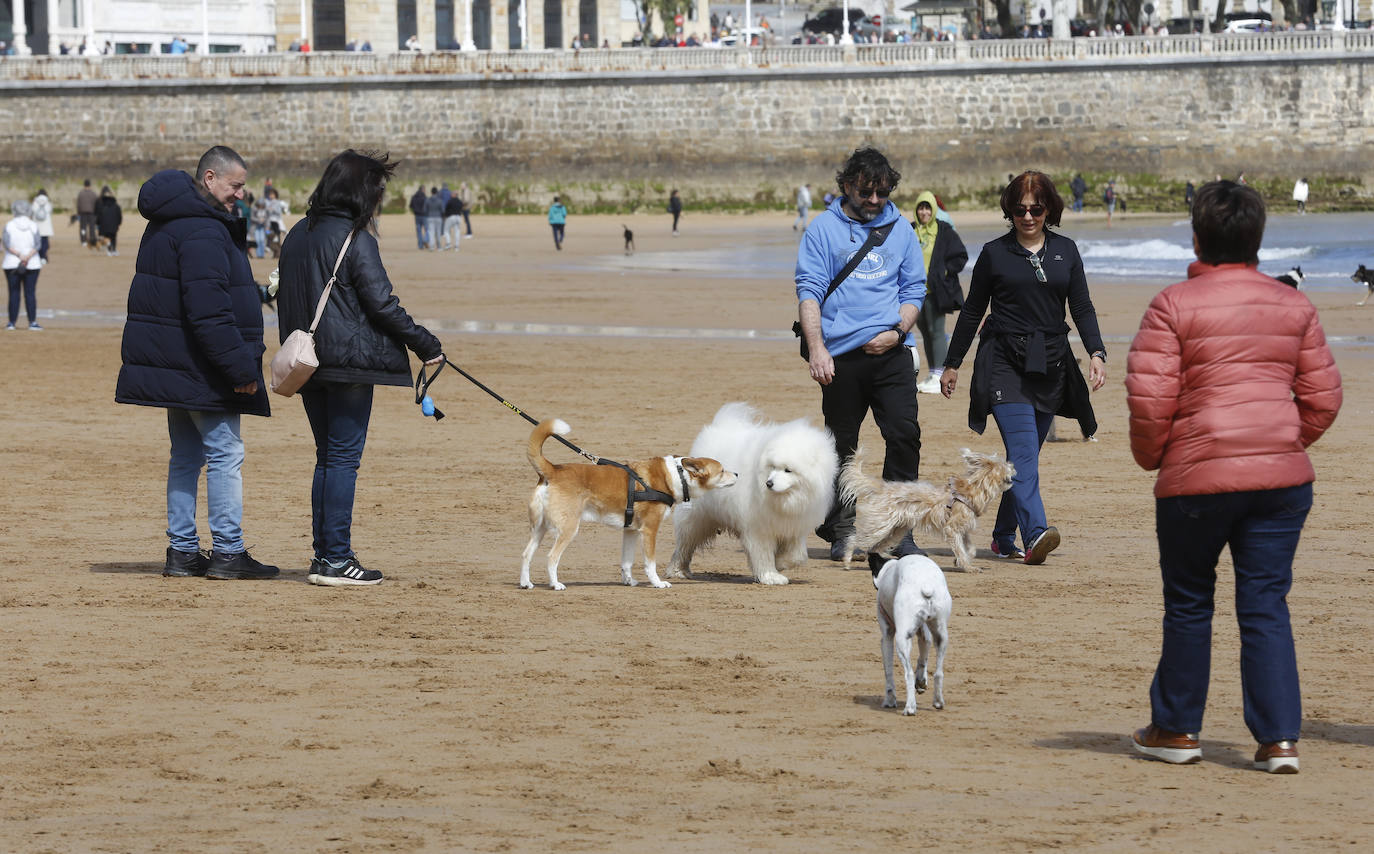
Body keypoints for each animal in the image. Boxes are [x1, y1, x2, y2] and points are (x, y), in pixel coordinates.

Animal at [522, 417, 741, 593]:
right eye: (722, 471)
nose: (738, 474)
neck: (675, 477)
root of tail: (552, 470)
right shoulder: (650, 530)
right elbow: (650, 563)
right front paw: (657, 583)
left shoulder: (631, 531)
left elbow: (626, 561)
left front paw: (629, 581)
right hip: (568, 529)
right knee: (551, 557)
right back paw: (555, 584)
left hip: (539, 529)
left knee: (526, 554)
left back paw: (526, 583)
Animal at [665, 403, 835, 584]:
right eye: (772, 467)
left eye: (788, 470)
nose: (769, 483)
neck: (786, 499)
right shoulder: (758, 528)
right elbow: (763, 554)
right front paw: (771, 576)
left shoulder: (794, 527)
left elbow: (798, 556)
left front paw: (780, 563)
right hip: (695, 519)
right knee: (684, 546)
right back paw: (677, 571)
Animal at [829, 447, 1016, 576]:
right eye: (1005, 464)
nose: (1013, 465)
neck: (972, 490)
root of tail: (882, 488)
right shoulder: (952, 529)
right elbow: (962, 550)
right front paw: (968, 567)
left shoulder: (963, 530)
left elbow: (970, 549)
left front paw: (960, 561)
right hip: (879, 526)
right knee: (853, 539)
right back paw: (847, 561)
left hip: (896, 530)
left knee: (874, 547)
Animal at [873, 554, 950, 713]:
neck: (889, 567)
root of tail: (926, 585)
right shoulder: (923, 632)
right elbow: (923, 656)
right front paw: (921, 681)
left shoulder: (887, 636)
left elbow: (888, 672)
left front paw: (890, 700)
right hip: (941, 636)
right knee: (939, 673)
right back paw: (938, 701)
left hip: (901, 640)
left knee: (908, 674)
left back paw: (910, 707)